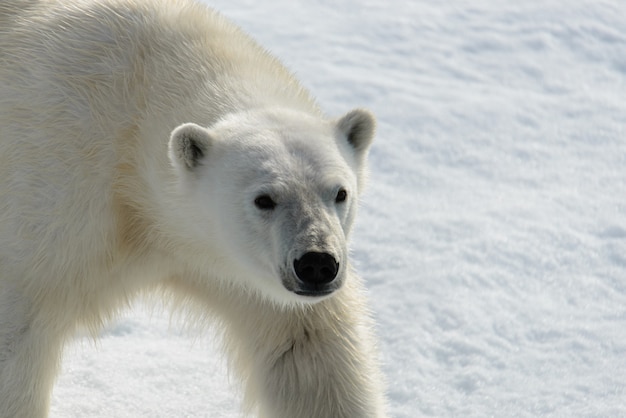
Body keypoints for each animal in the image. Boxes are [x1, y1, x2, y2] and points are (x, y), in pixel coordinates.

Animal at [0, 0, 386, 418]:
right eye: (264, 199)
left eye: (340, 193)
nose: (317, 263)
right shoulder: (55, 197)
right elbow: (18, 334)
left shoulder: (242, 273)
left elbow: (309, 351)